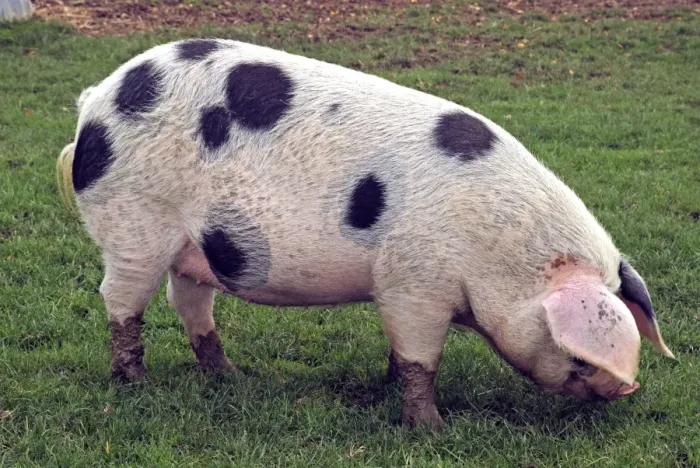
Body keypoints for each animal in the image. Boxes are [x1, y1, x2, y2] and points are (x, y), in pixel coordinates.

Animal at [56, 38, 674, 430]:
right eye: (578, 357)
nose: (628, 389)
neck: (498, 254)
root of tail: (95, 101)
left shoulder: (400, 288)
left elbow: (401, 353)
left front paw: (388, 389)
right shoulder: (415, 283)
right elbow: (422, 358)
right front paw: (433, 429)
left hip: (196, 246)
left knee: (187, 302)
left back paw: (230, 376)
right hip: (135, 223)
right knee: (120, 301)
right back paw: (135, 382)